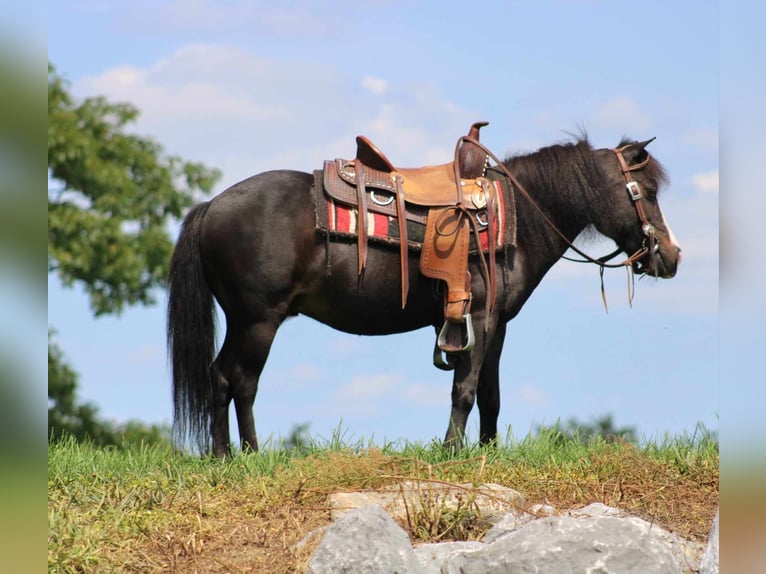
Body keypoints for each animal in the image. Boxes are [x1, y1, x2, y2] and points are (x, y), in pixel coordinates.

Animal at [168, 135, 684, 460]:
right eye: (648, 191)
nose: (672, 255)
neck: (517, 217)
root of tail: (211, 206)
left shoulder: (496, 324)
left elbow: (490, 395)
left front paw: (488, 452)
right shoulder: (478, 317)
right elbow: (464, 389)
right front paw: (452, 449)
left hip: (243, 321)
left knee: (220, 378)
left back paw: (226, 455)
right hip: (258, 320)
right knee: (238, 381)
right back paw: (242, 455)